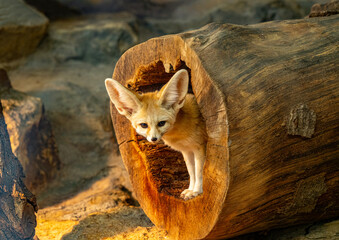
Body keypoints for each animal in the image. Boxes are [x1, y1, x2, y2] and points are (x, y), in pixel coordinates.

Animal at [105, 70, 207, 201]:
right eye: (144, 125)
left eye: (161, 123)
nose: (153, 139)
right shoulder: (187, 151)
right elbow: (191, 172)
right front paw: (191, 189)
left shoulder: (199, 147)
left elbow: (199, 172)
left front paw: (197, 191)